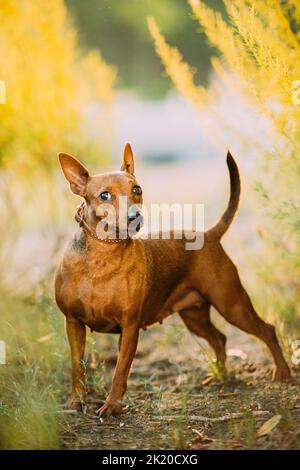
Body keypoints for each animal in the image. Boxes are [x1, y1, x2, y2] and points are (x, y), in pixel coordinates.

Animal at [54, 143, 290, 414]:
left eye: (136, 190)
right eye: (104, 196)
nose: (134, 216)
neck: (101, 256)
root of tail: (209, 234)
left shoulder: (130, 327)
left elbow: (120, 371)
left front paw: (112, 405)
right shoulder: (73, 322)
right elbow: (77, 367)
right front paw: (77, 401)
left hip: (232, 305)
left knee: (267, 330)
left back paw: (283, 372)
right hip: (195, 316)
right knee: (219, 338)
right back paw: (219, 376)